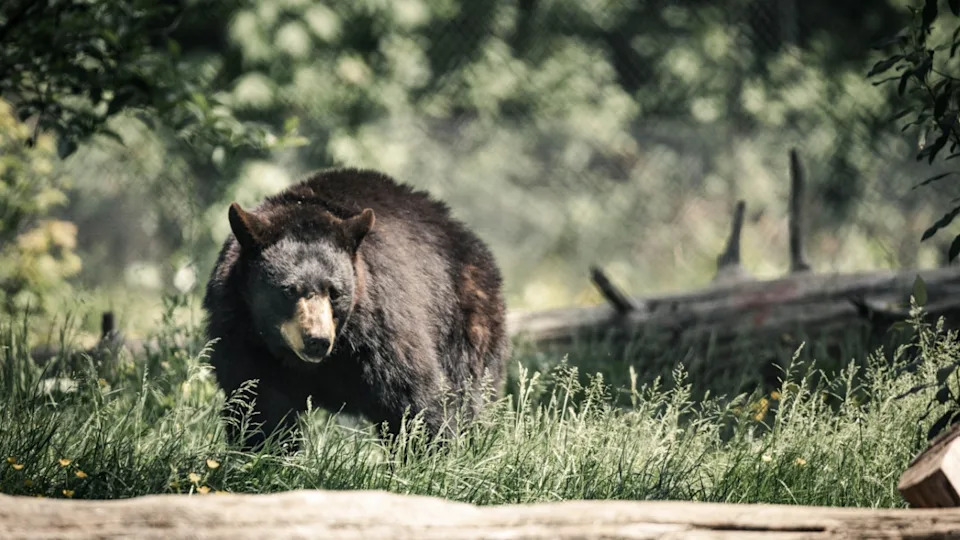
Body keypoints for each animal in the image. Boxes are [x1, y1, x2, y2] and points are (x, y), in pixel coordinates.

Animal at [203, 168, 508, 448]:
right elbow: (258, 403)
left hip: (466, 320)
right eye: (288, 290)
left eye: (335, 292)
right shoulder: (242, 332)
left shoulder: (379, 330)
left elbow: (414, 397)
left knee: (470, 391)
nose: (317, 340)